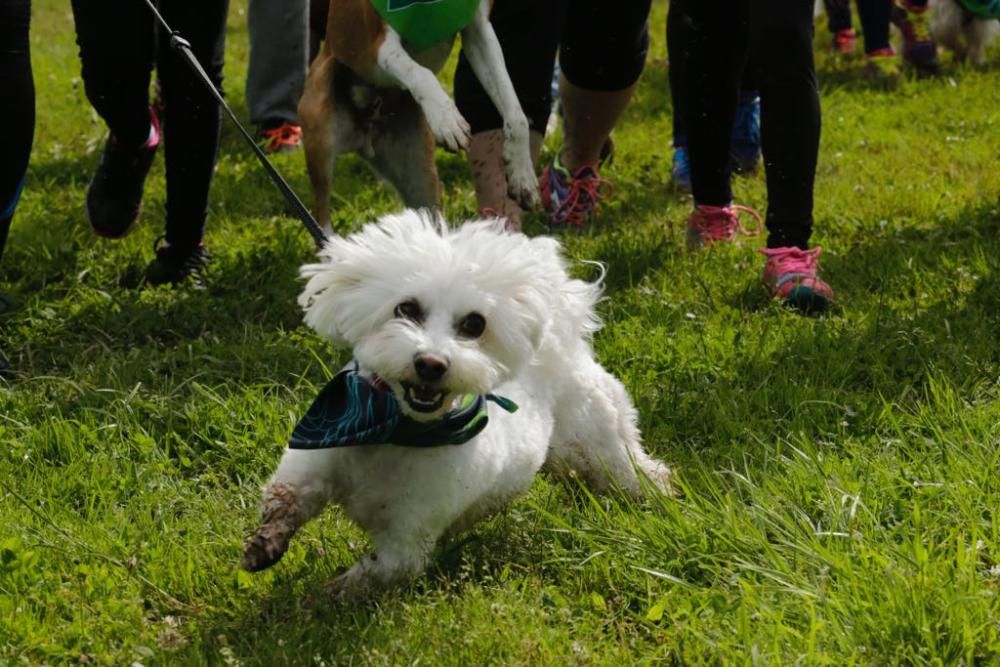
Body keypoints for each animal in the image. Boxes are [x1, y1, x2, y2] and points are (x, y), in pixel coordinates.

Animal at [240, 210, 672, 596]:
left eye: (474, 324)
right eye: (406, 308)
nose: (431, 363)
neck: (393, 427)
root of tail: (561, 340)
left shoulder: (407, 538)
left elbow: (371, 574)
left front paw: (317, 600)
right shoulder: (317, 455)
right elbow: (287, 497)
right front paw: (264, 544)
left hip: (599, 442)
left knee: (631, 468)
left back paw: (658, 495)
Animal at [300, 0, 540, 235]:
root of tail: (364, 137)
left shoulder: (479, 31)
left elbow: (515, 110)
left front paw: (522, 174)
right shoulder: (382, 44)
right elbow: (422, 73)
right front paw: (446, 118)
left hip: (419, 179)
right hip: (322, 135)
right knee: (321, 216)